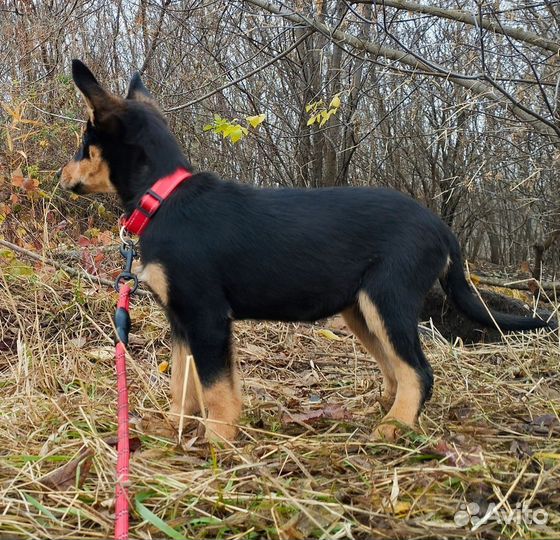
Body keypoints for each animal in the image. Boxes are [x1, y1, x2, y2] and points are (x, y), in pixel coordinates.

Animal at [59, 61, 548, 440]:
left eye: (84, 147)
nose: (61, 176)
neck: (162, 197)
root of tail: (444, 230)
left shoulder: (207, 317)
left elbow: (217, 392)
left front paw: (219, 444)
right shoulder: (181, 322)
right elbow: (183, 385)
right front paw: (173, 429)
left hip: (387, 299)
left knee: (418, 372)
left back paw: (393, 428)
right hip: (360, 309)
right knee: (396, 369)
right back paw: (380, 412)